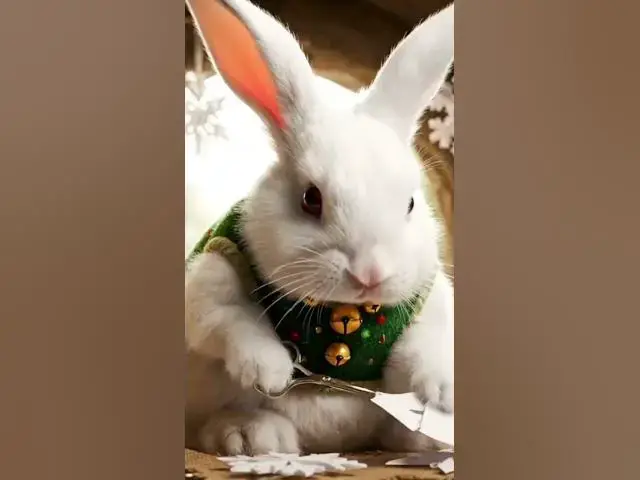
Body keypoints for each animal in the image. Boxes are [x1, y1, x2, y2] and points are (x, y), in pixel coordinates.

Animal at [185, 0, 454, 455]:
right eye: (311, 199)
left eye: (411, 203)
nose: (370, 275)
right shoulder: (213, 274)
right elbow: (229, 320)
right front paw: (271, 370)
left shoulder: (429, 304)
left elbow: (422, 349)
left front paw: (441, 391)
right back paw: (251, 435)